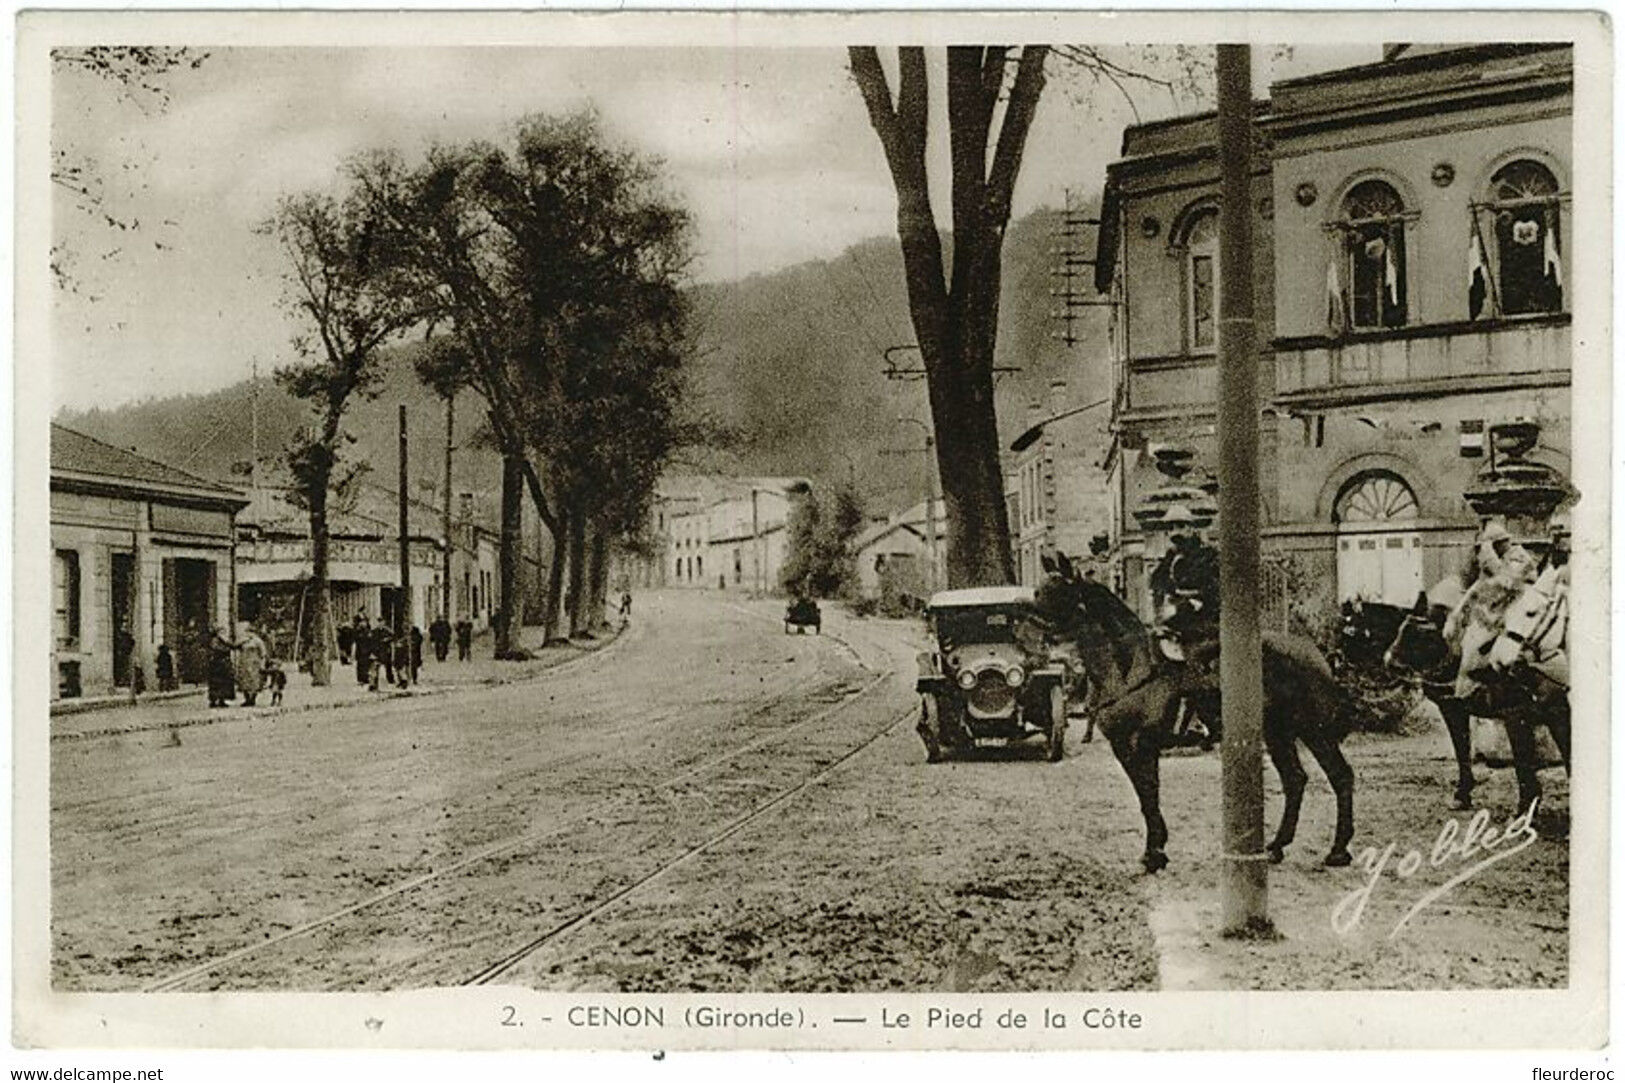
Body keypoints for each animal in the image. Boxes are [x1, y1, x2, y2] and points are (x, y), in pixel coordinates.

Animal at [1033, 552, 1352, 871]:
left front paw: (1155, 852)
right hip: (1278, 734)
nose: (1032, 632)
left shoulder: (1142, 744)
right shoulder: (1122, 746)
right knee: (1295, 779)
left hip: (1314, 731)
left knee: (1340, 775)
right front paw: (1155, 849)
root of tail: (1314, 654)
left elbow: (1149, 793)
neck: (1130, 667)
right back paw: (1276, 846)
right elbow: (1144, 796)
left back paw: (1338, 850)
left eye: (1058, 591)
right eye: (1040, 590)